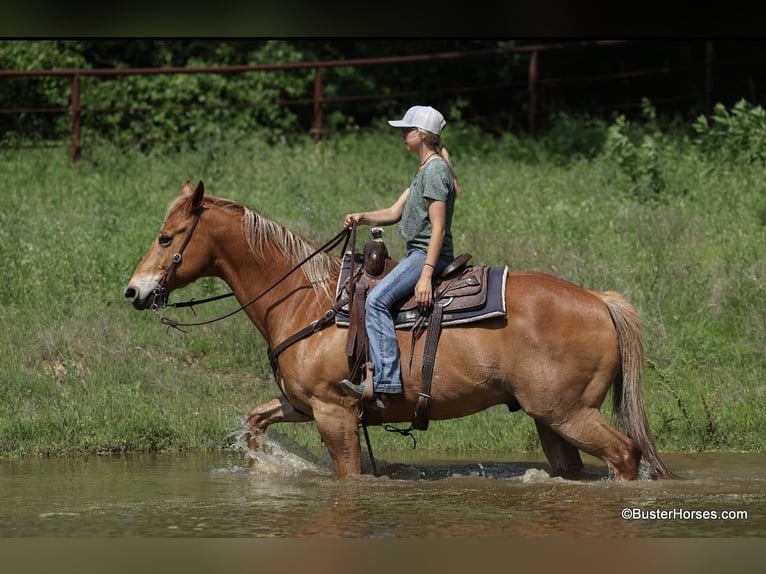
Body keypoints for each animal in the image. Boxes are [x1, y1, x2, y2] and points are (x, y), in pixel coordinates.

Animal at [126, 180, 680, 482]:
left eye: (167, 238)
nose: (134, 291)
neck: (307, 302)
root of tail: (600, 301)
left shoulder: (334, 412)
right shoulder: (302, 404)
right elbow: (255, 421)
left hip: (570, 412)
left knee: (626, 454)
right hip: (551, 419)